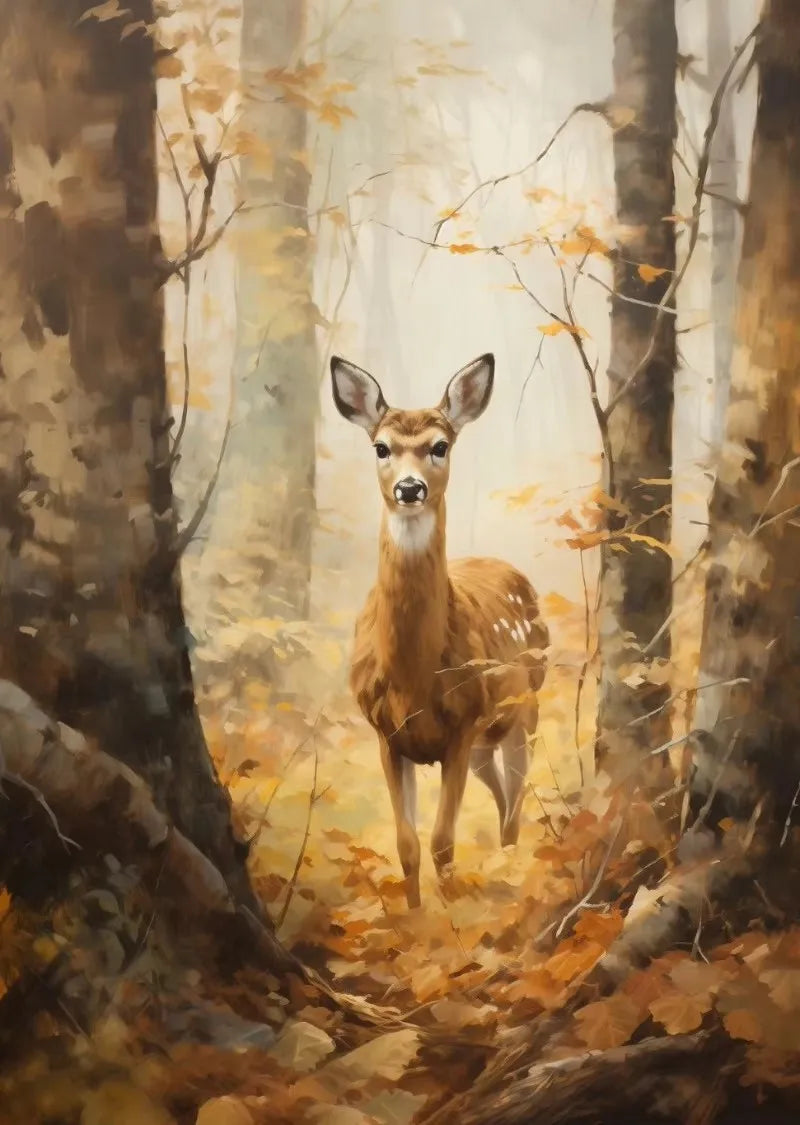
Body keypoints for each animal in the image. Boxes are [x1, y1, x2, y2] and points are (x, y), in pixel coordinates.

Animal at [330, 352, 549, 908]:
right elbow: (407, 845)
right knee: (501, 796)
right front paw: (413, 916)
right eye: (381, 447)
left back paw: (509, 871)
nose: (410, 488)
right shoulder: (387, 734)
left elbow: (443, 842)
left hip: (523, 710)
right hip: (486, 740)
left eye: (440, 446)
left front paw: (451, 919)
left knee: (515, 804)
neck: (413, 676)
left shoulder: (462, 725)